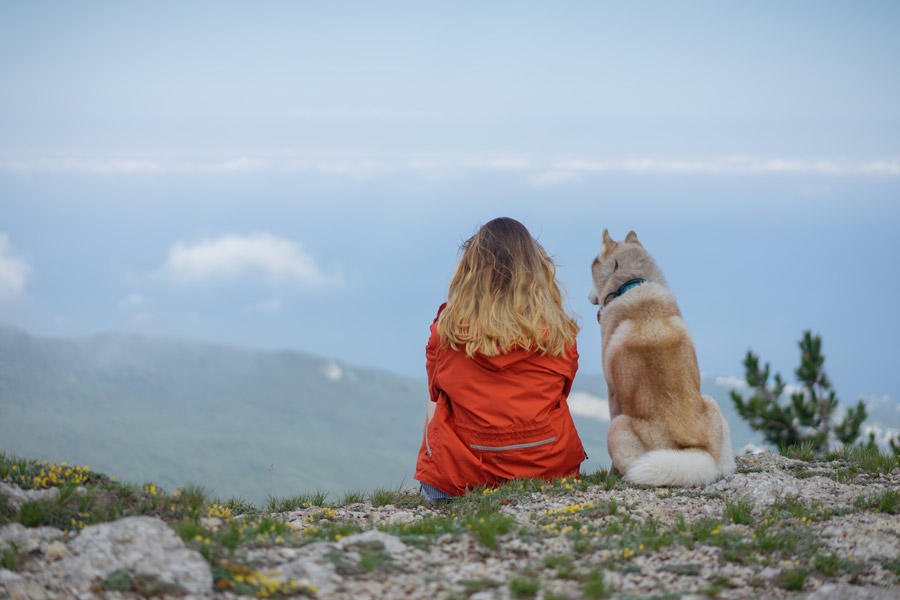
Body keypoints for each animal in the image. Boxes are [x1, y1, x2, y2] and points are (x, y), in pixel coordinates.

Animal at [588, 230, 736, 488]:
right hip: (712, 404)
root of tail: (697, 453)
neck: (633, 284)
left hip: (617, 428)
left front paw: (609, 475)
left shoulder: (612, 393)